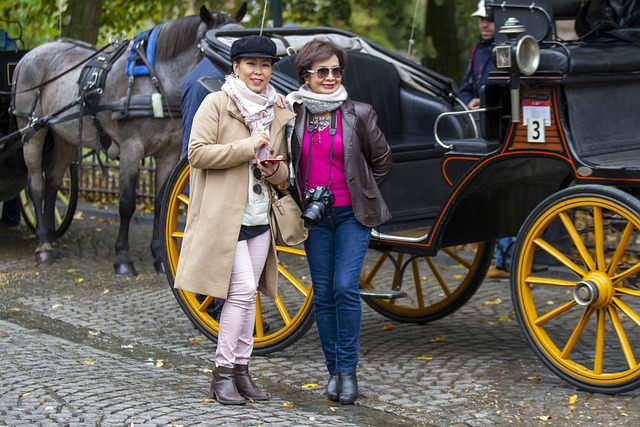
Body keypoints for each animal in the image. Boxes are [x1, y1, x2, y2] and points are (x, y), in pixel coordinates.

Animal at [12, 3, 248, 276]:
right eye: (217, 49)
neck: (155, 81)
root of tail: (28, 56)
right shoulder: (130, 148)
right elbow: (126, 203)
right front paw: (123, 258)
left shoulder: (167, 153)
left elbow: (160, 203)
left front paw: (159, 256)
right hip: (31, 131)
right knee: (36, 185)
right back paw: (43, 245)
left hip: (64, 137)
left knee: (52, 183)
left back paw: (52, 239)